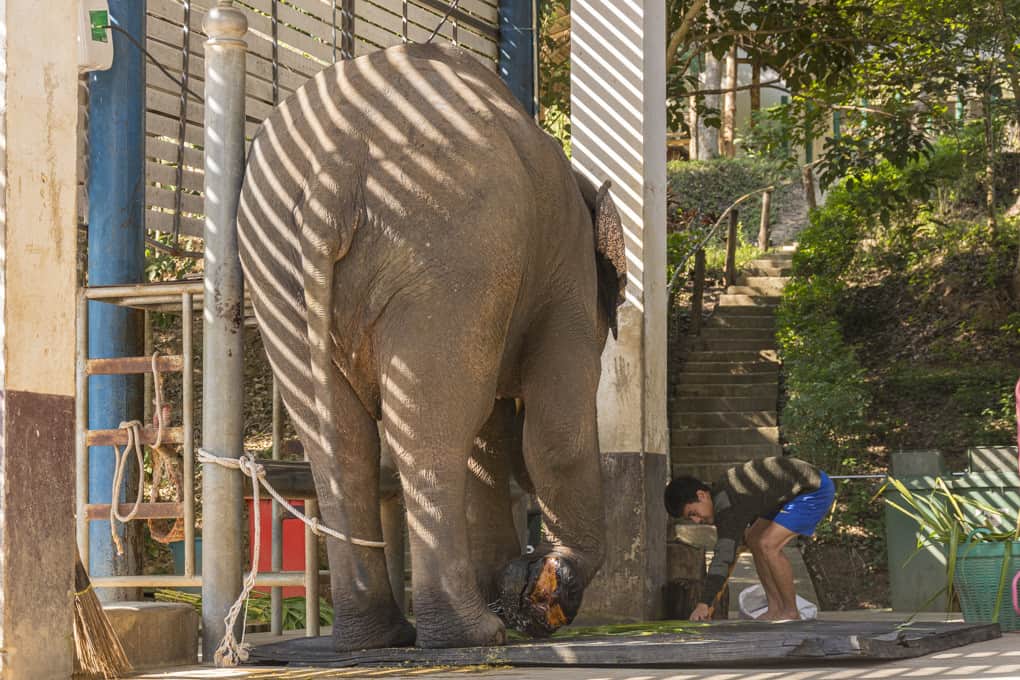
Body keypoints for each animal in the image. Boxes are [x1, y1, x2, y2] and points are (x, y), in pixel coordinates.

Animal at [236, 41, 620, 648]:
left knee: (343, 440)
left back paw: (377, 637)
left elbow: (491, 442)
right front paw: (546, 589)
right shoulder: (569, 280)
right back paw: (474, 633)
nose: (532, 597)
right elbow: (555, 431)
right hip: (447, 246)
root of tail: (336, 166)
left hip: (277, 264)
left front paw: (519, 587)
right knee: (435, 429)